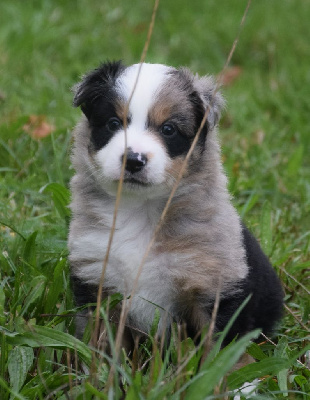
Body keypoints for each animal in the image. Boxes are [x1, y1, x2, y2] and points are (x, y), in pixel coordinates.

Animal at [69, 61, 284, 346]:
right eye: (114, 123)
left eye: (168, 129)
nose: (134, 160)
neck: (140, 209)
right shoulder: (94, 277)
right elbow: (99, 342)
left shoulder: (213, 285)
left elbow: (217, 349)